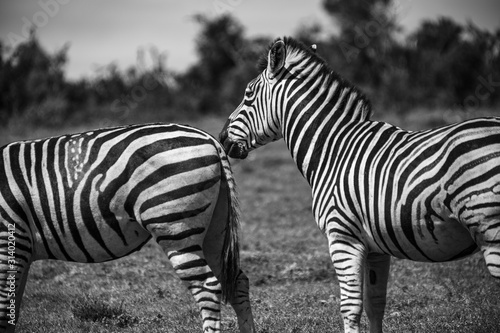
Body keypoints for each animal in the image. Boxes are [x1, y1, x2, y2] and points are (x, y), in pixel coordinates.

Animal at [0, 122, 256, 332]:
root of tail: (212, 140)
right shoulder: (20, 250)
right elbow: (13, 310)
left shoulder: (10, 240)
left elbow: (5, 310)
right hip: (215, 230)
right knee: (237, 281)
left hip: (175, 228)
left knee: (207, 287)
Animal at [220, 37, 500, 332]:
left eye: (248, 94)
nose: (222, 138)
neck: (334, 149)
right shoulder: (377, 247)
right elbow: (375, 304)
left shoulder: (342, 236)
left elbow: (350, 307)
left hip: (490, 229)